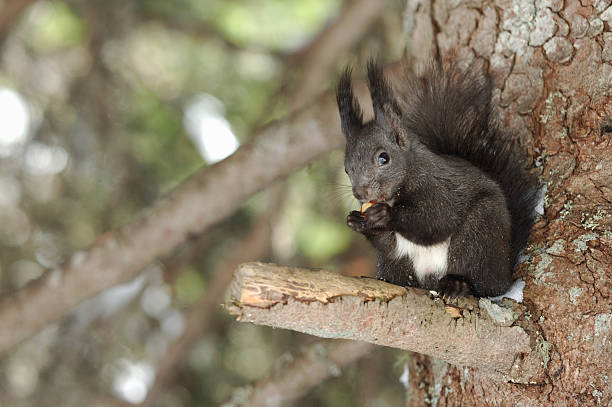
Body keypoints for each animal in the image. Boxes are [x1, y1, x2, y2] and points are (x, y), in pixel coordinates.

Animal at [338, 59, 536, 298]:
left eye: (383, 158)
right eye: (347, 169)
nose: (360, 192)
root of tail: (505, 271)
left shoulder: (441, 186)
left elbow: (438, 219)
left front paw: (385, 214)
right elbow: (390, 245)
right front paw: (356, 221)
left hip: (479, 234)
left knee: (484, 284)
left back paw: (457, 284)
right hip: (398, 265)